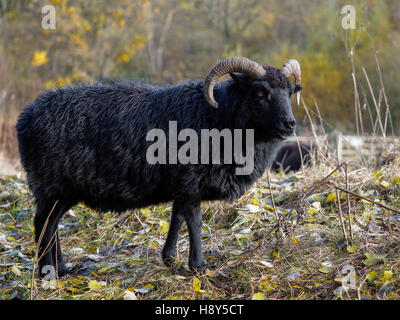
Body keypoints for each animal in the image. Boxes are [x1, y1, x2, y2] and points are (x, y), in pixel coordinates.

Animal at [16, 56, 304, 276]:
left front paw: (170, 259)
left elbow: (177, 219)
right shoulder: (190, 183)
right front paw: (198, 266)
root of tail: (25, 117)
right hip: (53, 185)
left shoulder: (182, 187)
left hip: (62, 190)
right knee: (43, 224)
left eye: (290, 92)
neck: (218, 117)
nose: (290, 124)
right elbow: (195, 222)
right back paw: (48, 273)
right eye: (260, 92)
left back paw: (62, 269)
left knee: (51, 225)